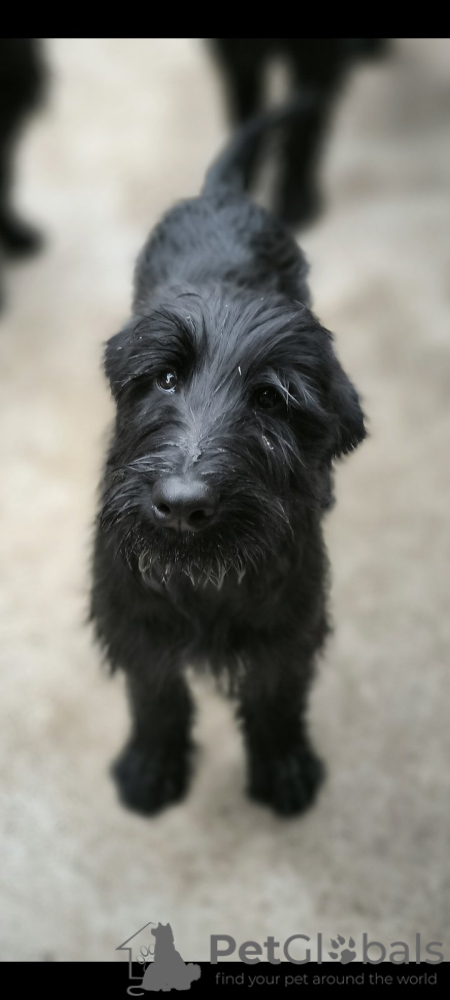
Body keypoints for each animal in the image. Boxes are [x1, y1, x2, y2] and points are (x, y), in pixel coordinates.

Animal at [91, 99, 366, 818]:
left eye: (270, 399)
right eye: (164, 379)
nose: (183, 507)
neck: (203, 575)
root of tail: (221, 193)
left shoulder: (287, 628)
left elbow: (276, 700)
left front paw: (285, 768)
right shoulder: (136, 621)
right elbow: (156, 699)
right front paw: (152, 768)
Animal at [211, 38, 388, 226]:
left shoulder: (317, 55)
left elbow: (301, 129)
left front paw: (295, 198)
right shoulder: (237, 53)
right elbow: (247, 113)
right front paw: (241, 179)